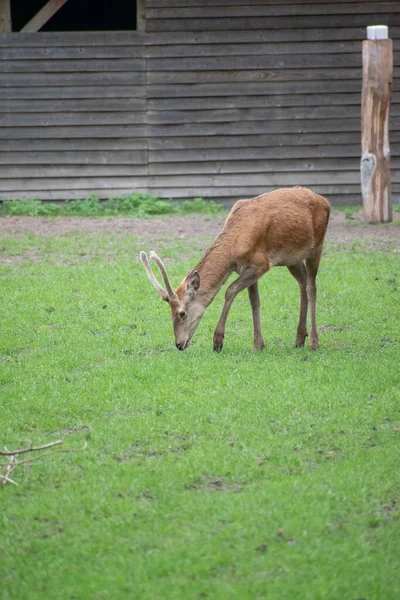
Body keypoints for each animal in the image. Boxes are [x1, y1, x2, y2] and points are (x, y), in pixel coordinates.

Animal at [139, 188, 330, 352]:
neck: (234, 248)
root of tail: (325, 201)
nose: (179, 344)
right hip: (293, 258)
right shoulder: (247, 268)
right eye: (170, 312)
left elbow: (230, 290)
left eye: (182, 313)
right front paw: (258, 344)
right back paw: (300, 338)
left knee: (311, 287)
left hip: (317, 246)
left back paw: (314, 342)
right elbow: (255, 301)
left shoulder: (261, 264)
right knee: (302, 283)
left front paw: (217, 341)